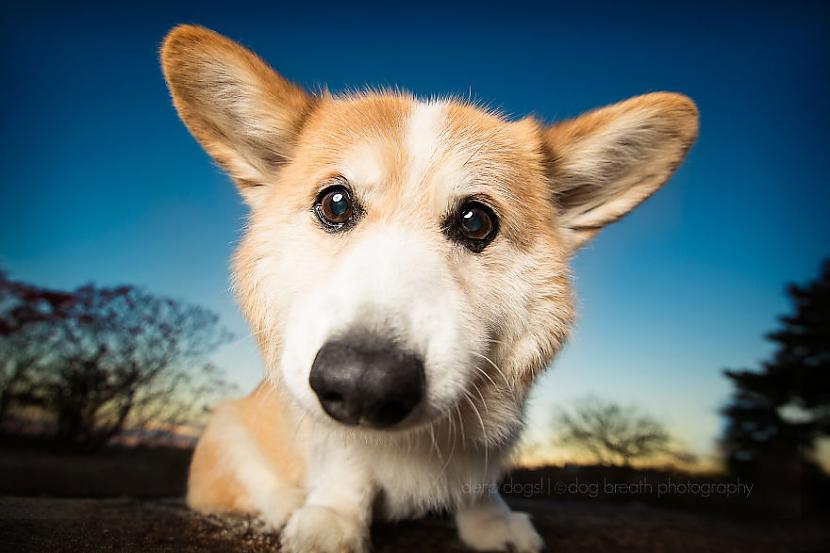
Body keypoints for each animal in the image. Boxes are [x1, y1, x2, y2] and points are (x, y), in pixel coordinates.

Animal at [159, 25, 700, 552]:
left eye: (477, 221)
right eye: (335, 203)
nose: (364, 384)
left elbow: (478, 482)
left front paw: (490, 523)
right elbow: (345, 463)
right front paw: (333, 520)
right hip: (226, 429)